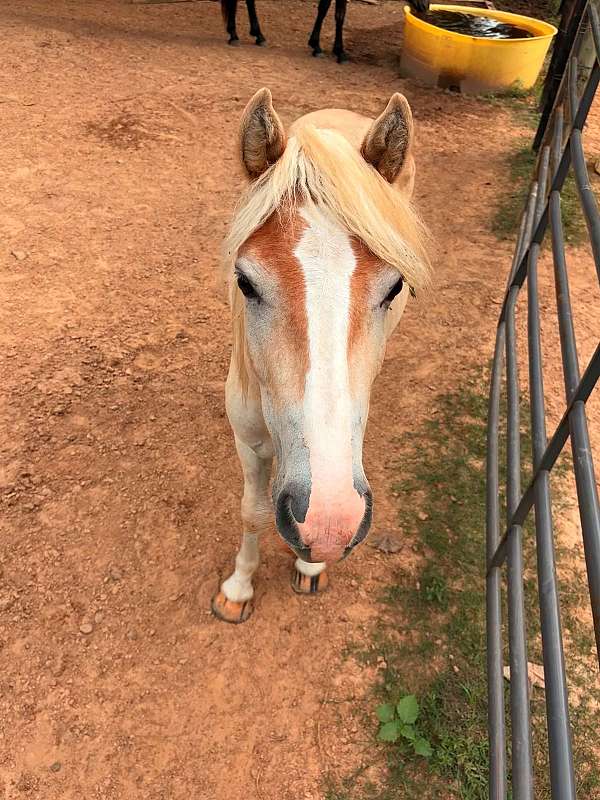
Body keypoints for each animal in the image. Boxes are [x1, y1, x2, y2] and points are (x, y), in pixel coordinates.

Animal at [212, 88, 431, 623]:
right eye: (245, 282)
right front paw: (238, 589)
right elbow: (252, 511)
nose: (329, 524)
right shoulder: (248, 440)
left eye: (395, 287)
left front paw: (310, 569)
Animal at [220, 0, 430, 63]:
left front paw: (328, 48)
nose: (424, 7)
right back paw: (236, 35)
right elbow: (331, 12)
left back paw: (256, 35)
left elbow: (334, 12)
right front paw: (328, 49)